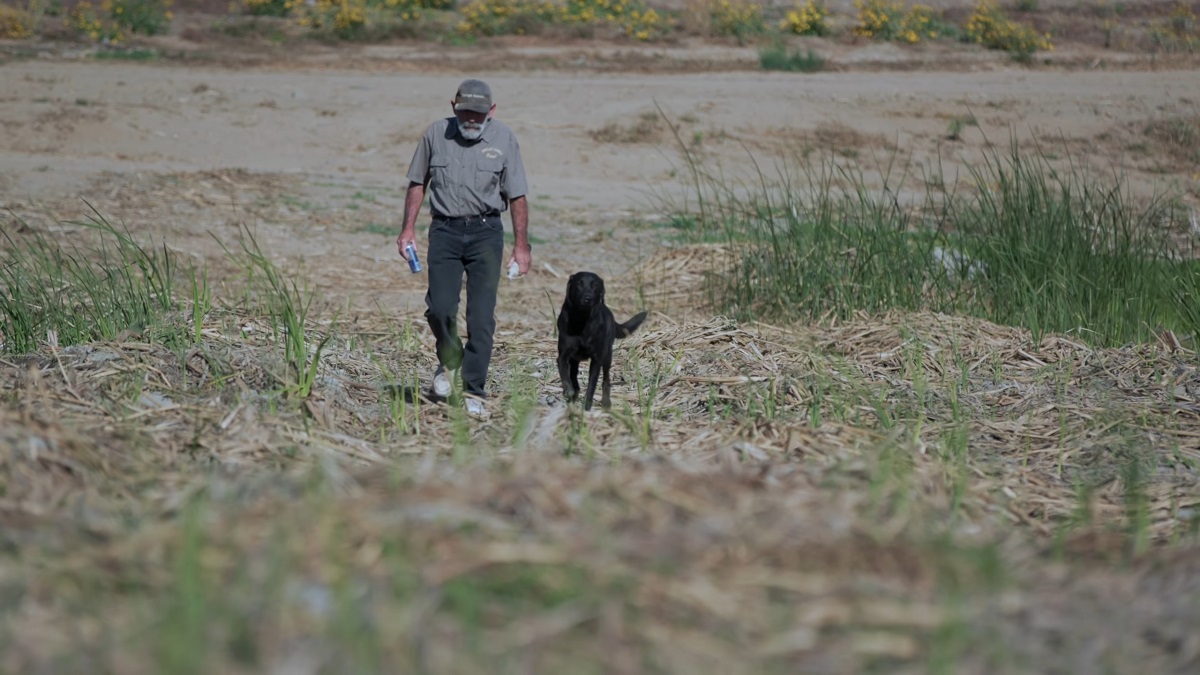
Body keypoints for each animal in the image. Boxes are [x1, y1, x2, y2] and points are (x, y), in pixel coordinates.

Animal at [554, 269, 648, 408]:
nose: (588, 298)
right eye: (579, 283)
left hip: (607, 355)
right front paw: (569, 392)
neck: (582, 320)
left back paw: (606, 401)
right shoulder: (563, 356)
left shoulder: (596, 359)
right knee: (574, 375)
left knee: (606, 379)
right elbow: (566, 377)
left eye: (595, 285)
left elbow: (592, 385)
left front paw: (587, 406)